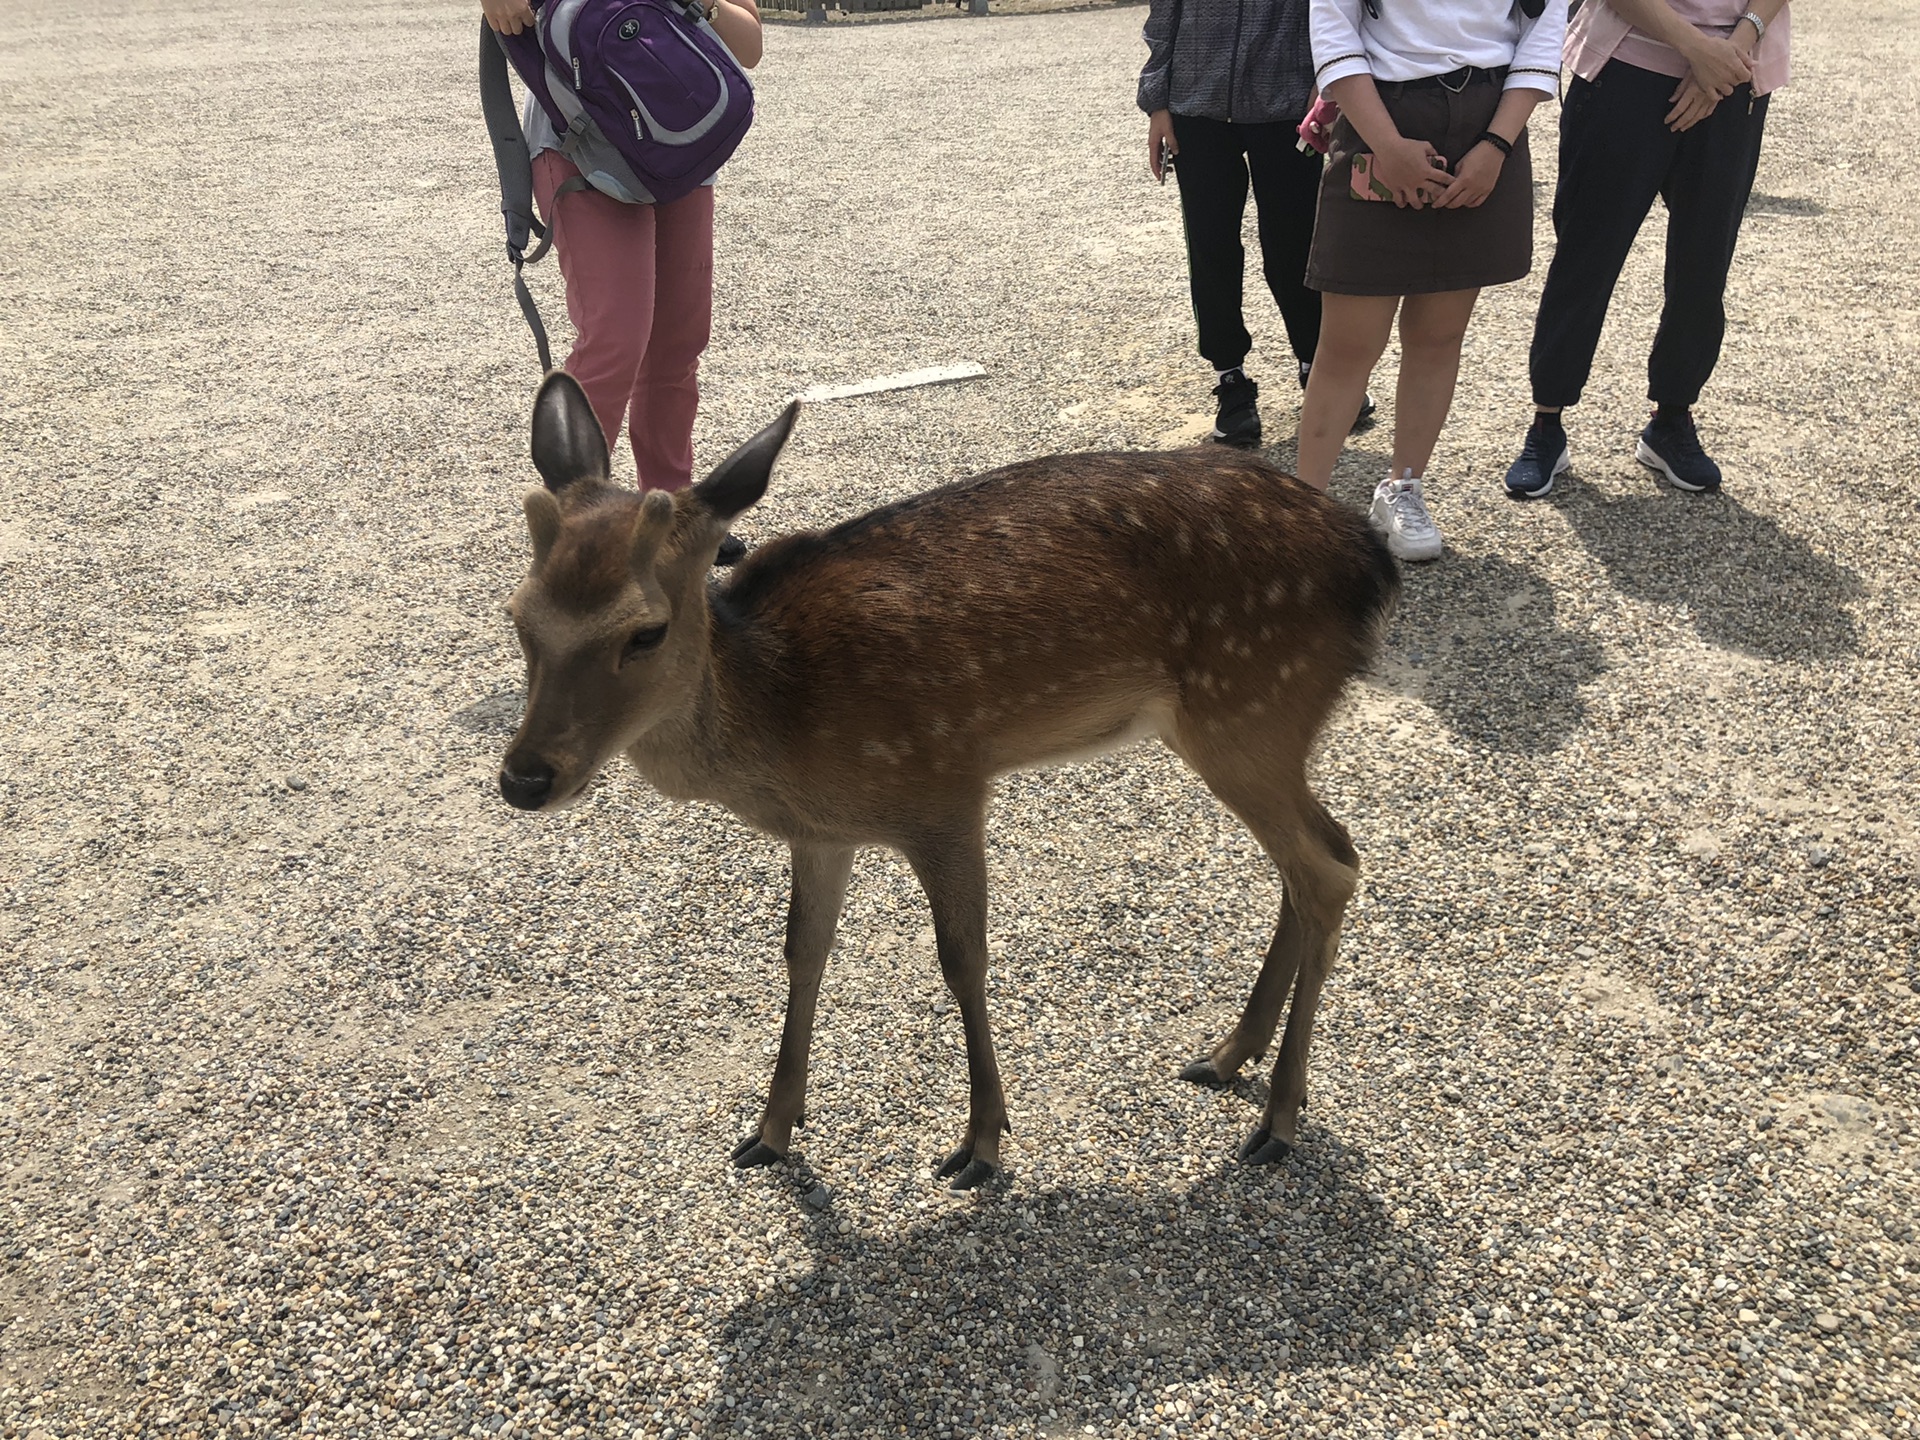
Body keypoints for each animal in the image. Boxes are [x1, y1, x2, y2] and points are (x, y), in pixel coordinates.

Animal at [495, 372, 1397, 1198]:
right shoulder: (823, 832)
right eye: (517, 615)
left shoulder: (945, 789)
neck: (783, 715)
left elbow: (962, 958)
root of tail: (1369, 558)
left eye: (644, 632)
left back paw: (1277, 1119)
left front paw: (981, 1141)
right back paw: (1227, 1055)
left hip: (1251, 703)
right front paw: (771, 1131)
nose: (524, 777)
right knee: (1319, 857)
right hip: (1254, 725)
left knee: (1328, 868)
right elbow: (803, 951)